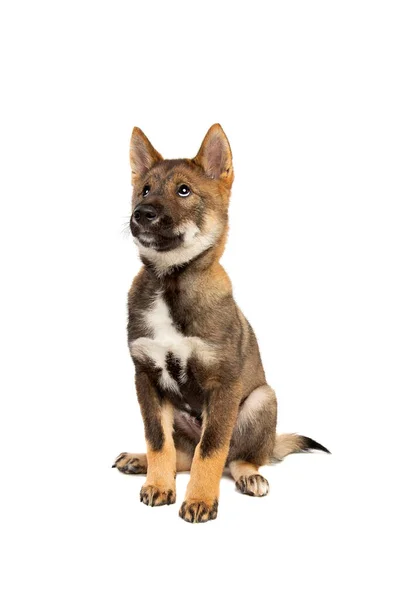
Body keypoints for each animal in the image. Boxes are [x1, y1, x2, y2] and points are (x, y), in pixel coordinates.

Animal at [111, 124, 328, 524]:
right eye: (145, 189)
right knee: (182, 452)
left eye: (184, 190)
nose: (140, 213)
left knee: (237, 456)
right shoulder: (146, 377)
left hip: (261, 399)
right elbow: (159, 441)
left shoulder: (223, 384)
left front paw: (199, 499)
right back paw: (140, 461)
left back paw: (249, 476)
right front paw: (159, 484)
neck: (171, 284)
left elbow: (210, 450)